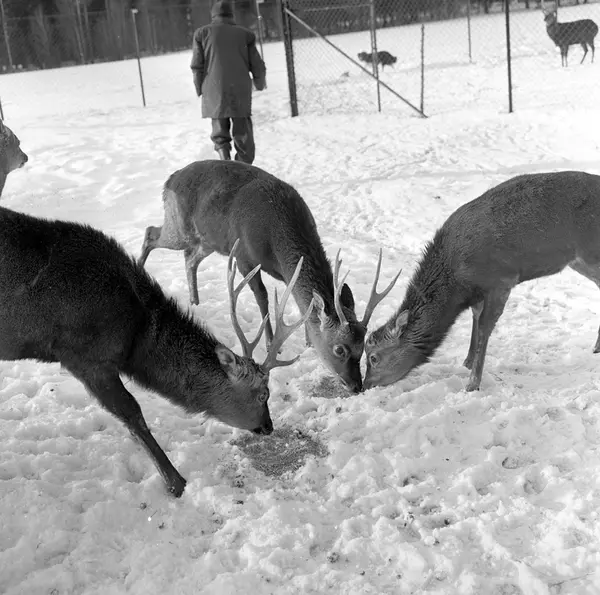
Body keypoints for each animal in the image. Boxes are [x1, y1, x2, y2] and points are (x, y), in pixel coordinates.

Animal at [0, 205, 313, 498]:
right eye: (263, 394)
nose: (268, 425)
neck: (134, 338)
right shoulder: (85, 356)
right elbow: (132, 413)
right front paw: (176, 482)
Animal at [138, 159, 400, 394]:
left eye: (362, 346)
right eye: (339, 349)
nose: (357, 386)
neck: (275, 236)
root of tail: (170, 179)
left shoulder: (286, 271)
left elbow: (300, 302)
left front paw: (307, 340)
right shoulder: (244, 256)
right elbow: (262, 298)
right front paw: (271, 343)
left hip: (207, 240)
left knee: (189, 258)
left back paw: (195, 300)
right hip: (179, 227)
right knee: (151, 232)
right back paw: (140, 270)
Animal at [363, 171, 600, 393]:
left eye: (373, 357)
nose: (364, 385)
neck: (457, 284)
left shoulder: (501, 279)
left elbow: (486, 327)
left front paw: (472, 383)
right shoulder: (478, 290)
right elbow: (476, 317)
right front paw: (467, 361)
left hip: (590, 252)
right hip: (579, 261)